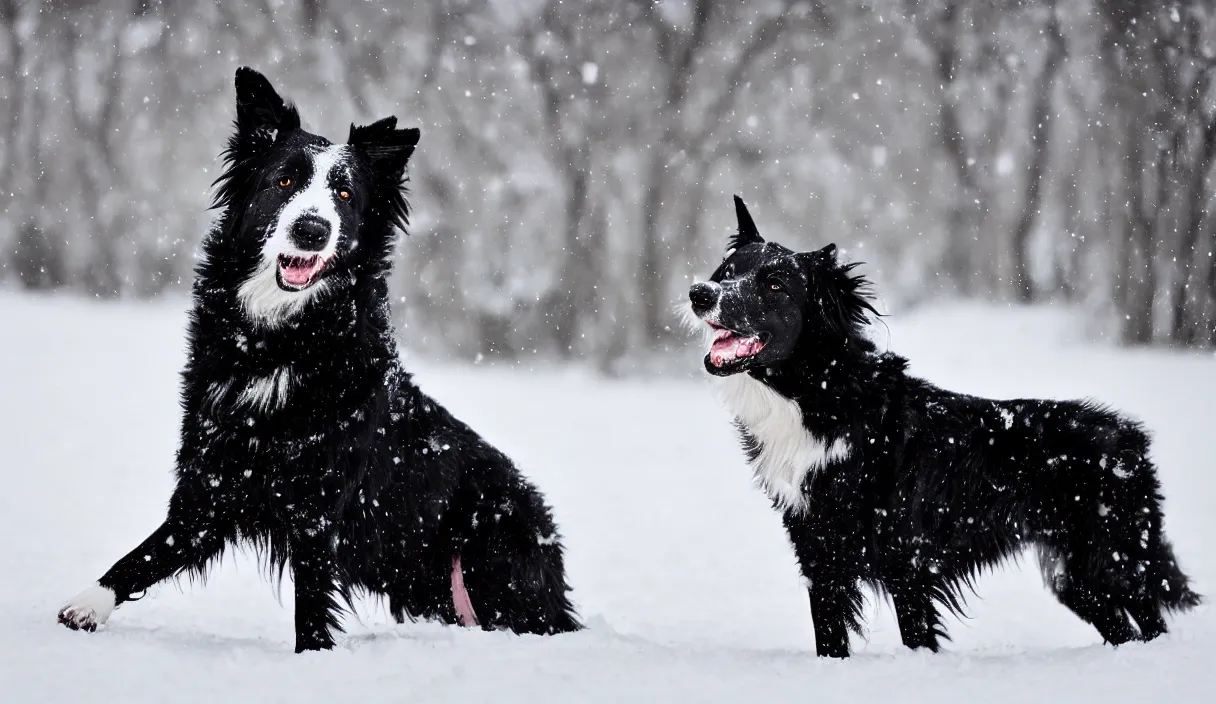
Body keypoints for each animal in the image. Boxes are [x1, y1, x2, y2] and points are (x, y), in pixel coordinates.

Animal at [59, 69, 581, 651]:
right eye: (284, 181)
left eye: (345, 194)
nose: (312, 229)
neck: (280, 341)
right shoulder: (212, 481)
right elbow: (148, 552)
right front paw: (88, 604)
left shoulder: (318, 503)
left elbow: (310, 603)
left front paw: (312, 657)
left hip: (492, 543)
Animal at [690, 195, 1201, 656]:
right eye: (727, 272)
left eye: (775, 284)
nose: (700, 293)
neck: (819, 400)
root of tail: (1129, 436)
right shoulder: (820, 553)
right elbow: (829, 638)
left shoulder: (908, 562)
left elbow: (916, 637)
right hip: (1078, 579)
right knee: (1127, 627)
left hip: (1112, 559)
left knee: (1151, 621)